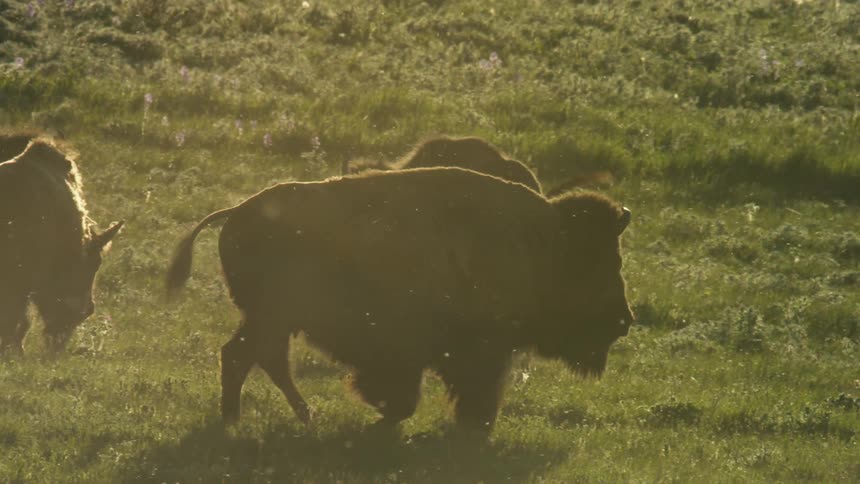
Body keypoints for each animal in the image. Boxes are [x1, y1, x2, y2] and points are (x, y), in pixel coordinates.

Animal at [167, 167, 632, 434]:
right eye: (602, 261)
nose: (625, 319)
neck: (541, 245)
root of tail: (236, 211)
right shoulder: (469, 349)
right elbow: (437, 392)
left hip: (269, 319)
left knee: (248, 356)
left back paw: (263, 419)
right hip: (271, 317)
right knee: (253, 357)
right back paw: (262, 419)